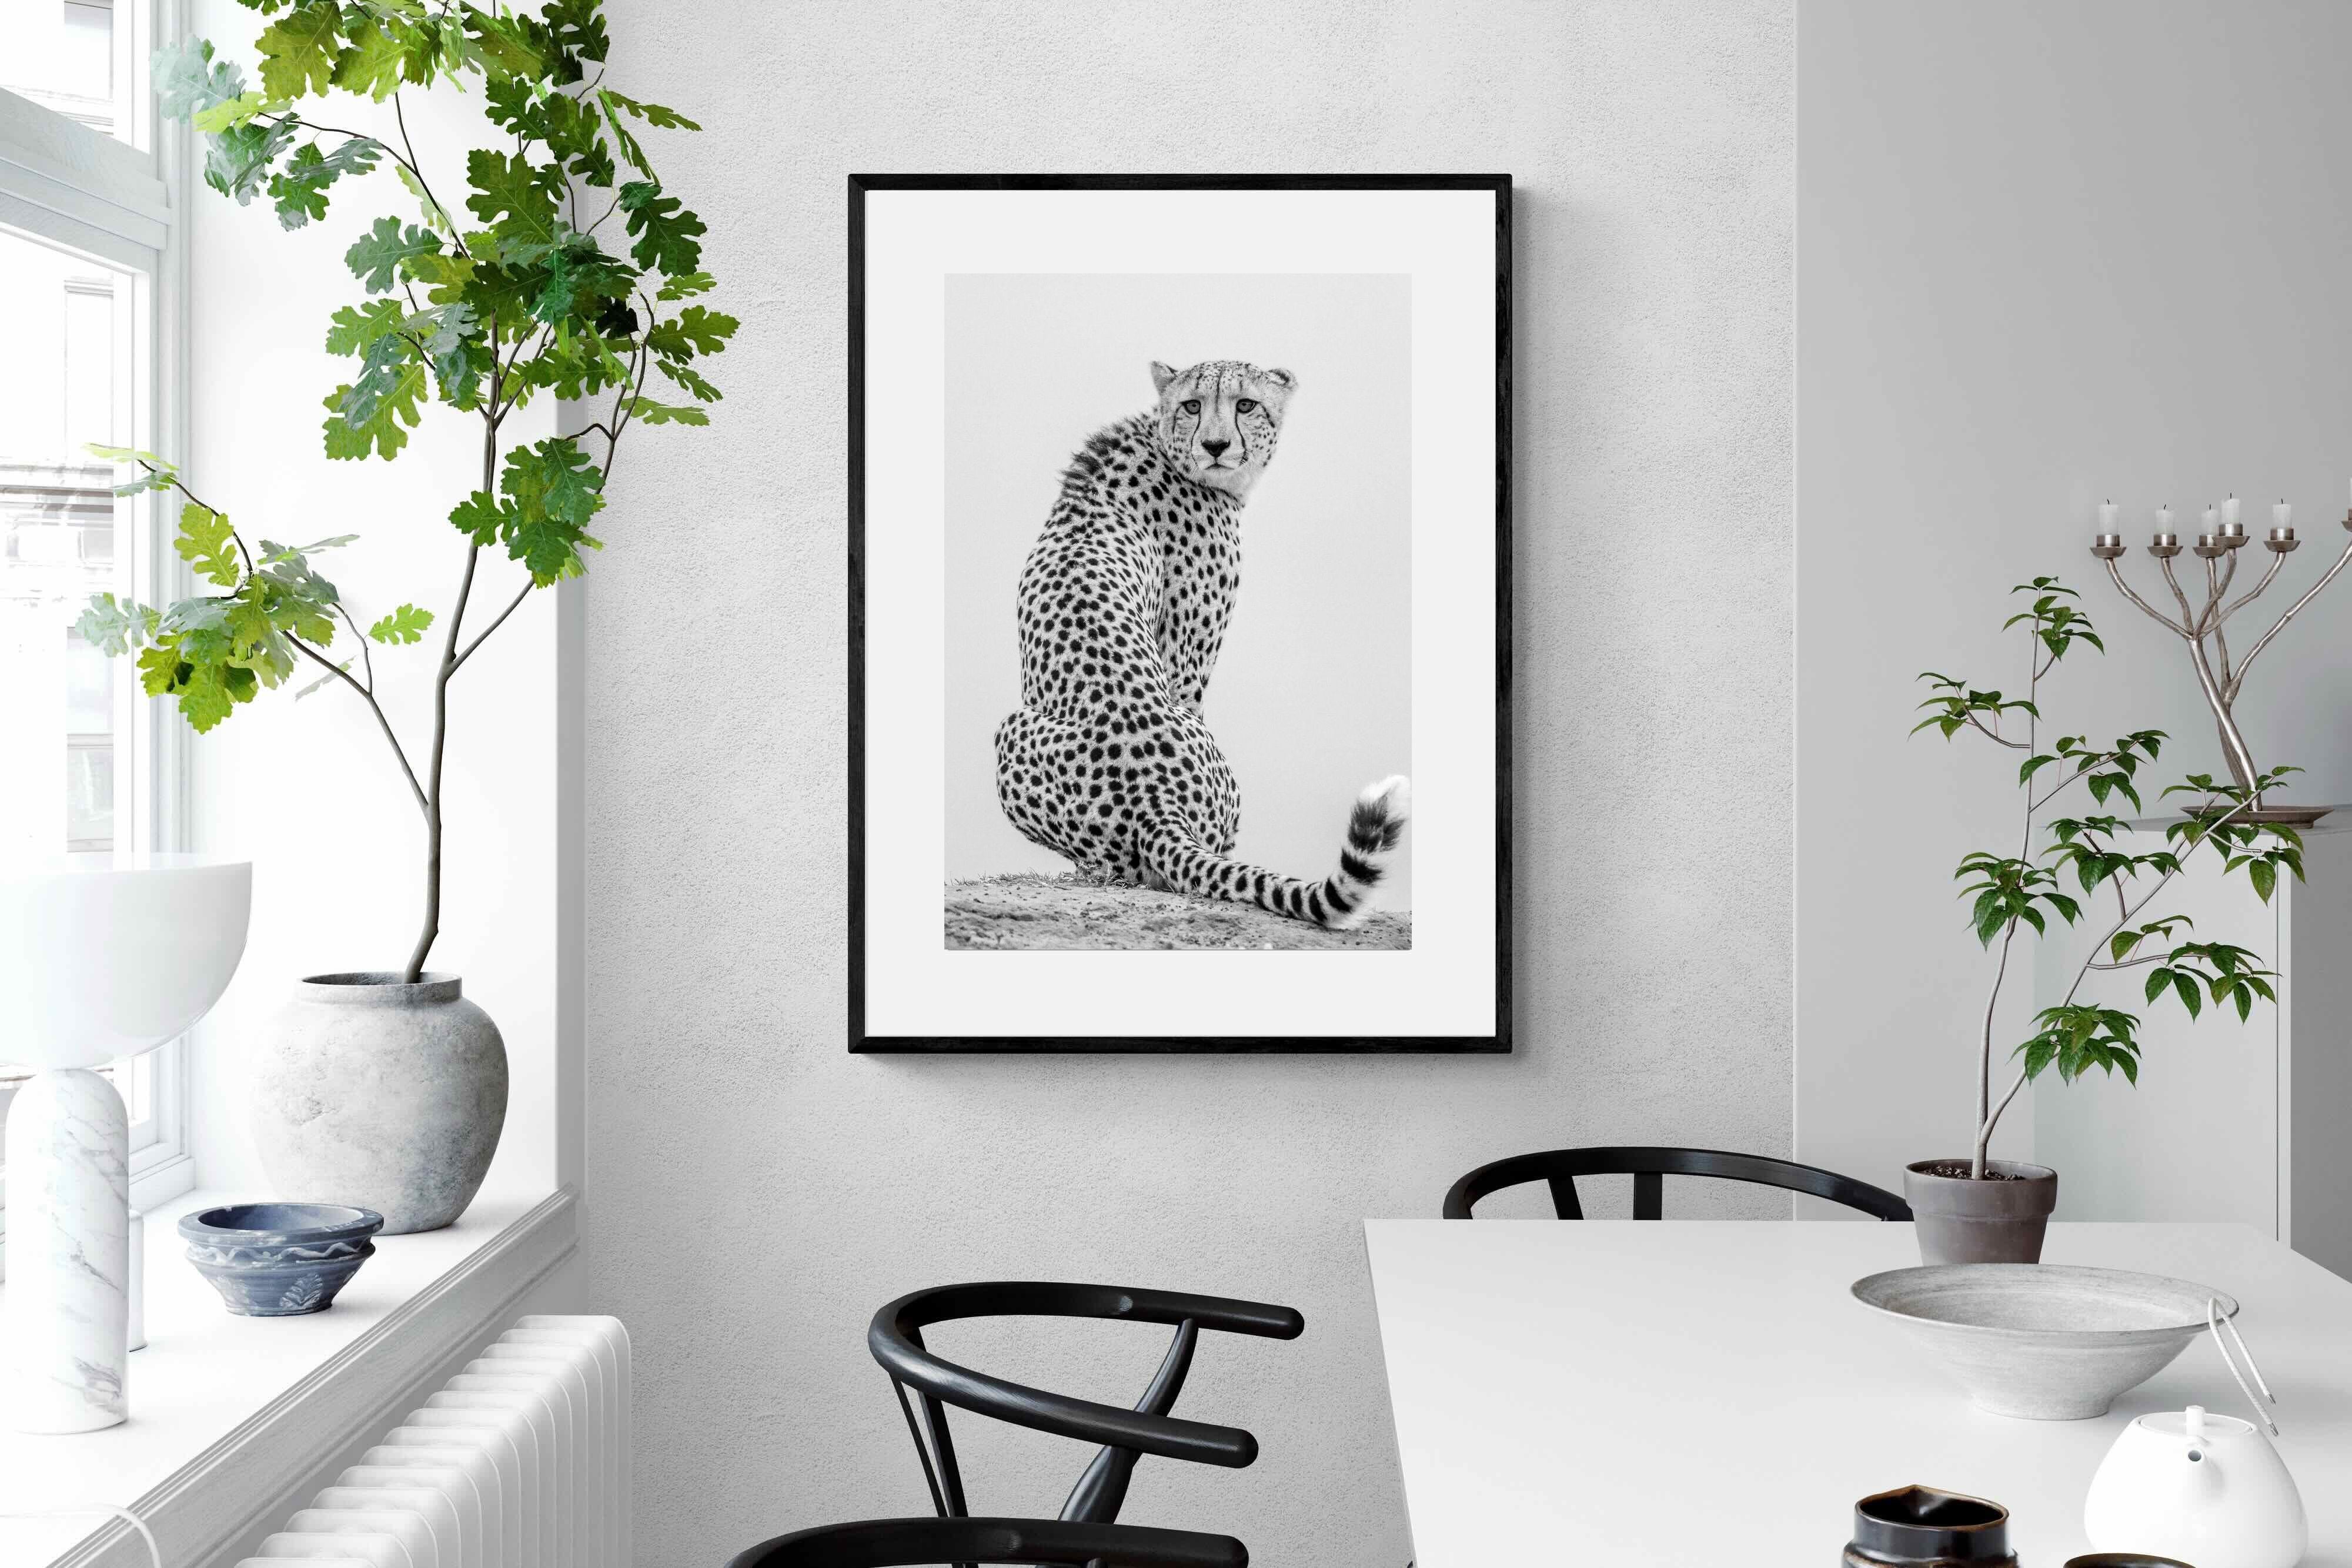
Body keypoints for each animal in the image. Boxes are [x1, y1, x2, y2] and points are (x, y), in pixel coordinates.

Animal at [990, 357, 1410, 929]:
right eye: (1193, 405)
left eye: (1245, 404)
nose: (1214, 444)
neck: (1165, 445)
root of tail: (1155, 802)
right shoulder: (1187, 660)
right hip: (1017, 730)